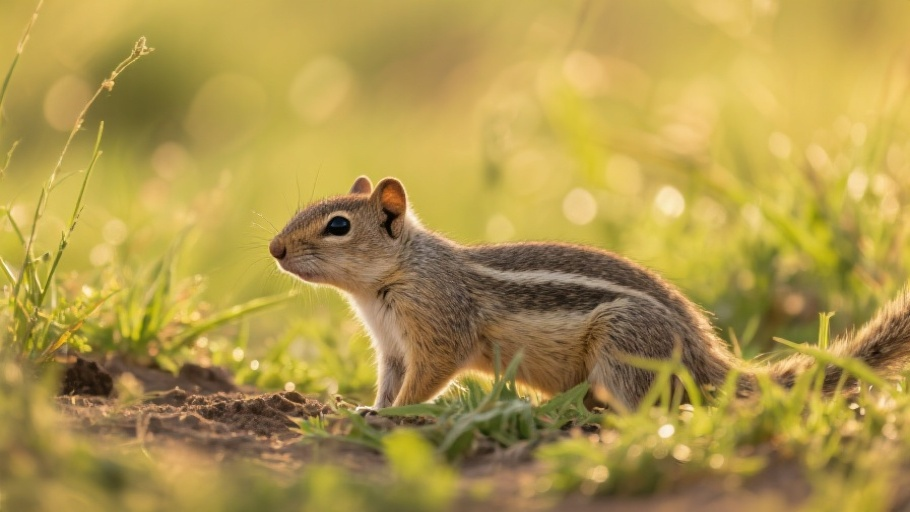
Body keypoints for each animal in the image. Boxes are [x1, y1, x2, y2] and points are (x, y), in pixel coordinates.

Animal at [269, 176, 910, 410]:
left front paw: (397, 416)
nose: (274, 249)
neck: (394, 277)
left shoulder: (438, 329)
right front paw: (367, 409)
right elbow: (389, 381)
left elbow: (426, 380)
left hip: (622, 345)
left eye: (338, 225)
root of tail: (709, 358)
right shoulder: (392, 348)